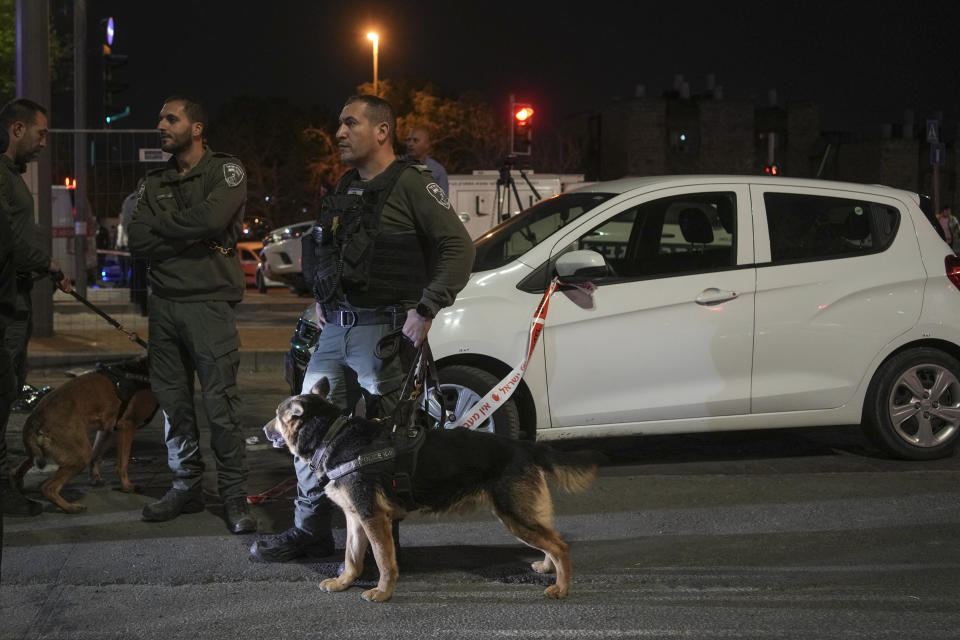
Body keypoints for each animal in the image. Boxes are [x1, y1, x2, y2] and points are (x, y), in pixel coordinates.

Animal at [10, 358, 158, 512]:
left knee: (19, 468)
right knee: (48, 487)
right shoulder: (127, 426)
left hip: (42, 453)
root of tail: (36, 417)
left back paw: (18, 485)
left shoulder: (106, 429)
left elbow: (96, 455)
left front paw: (94, 477)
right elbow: (122, 464)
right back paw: (70, 507)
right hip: (81, 455)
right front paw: (127, 486)